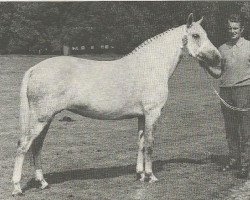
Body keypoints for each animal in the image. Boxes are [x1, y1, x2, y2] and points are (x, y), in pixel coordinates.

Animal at [11, 13, 221, 195]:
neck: (150, 66)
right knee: (23, 146)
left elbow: (141, 143)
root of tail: (34, 69)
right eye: (196, 35)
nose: (218, 58)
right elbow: (150, 143)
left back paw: (43, 183)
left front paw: (140, 174)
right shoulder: (152, 113)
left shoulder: (141, 116)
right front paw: (151, 176)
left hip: (45, 119)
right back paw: (17, 188)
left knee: (36, 146)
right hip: (41, 118)